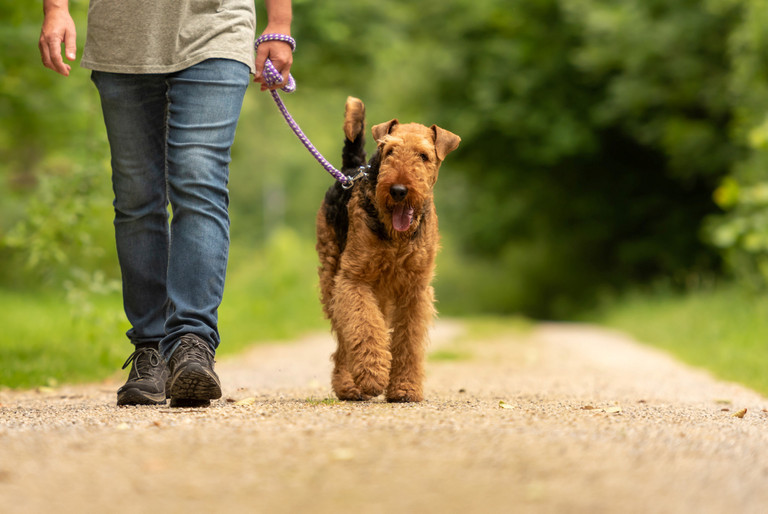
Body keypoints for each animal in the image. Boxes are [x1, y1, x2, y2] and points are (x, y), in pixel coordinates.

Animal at [316, 96, 460, 400]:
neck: (397, 238)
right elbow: (364, 327)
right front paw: (373, 376)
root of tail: (352, 170)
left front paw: (404, 388)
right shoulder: (354, 279)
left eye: (424, 156)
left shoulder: (415, 289)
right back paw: (348, 385)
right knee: (344, 337)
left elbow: (408, 341)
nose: (398, 190)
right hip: (332, 276)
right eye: (390, 150)